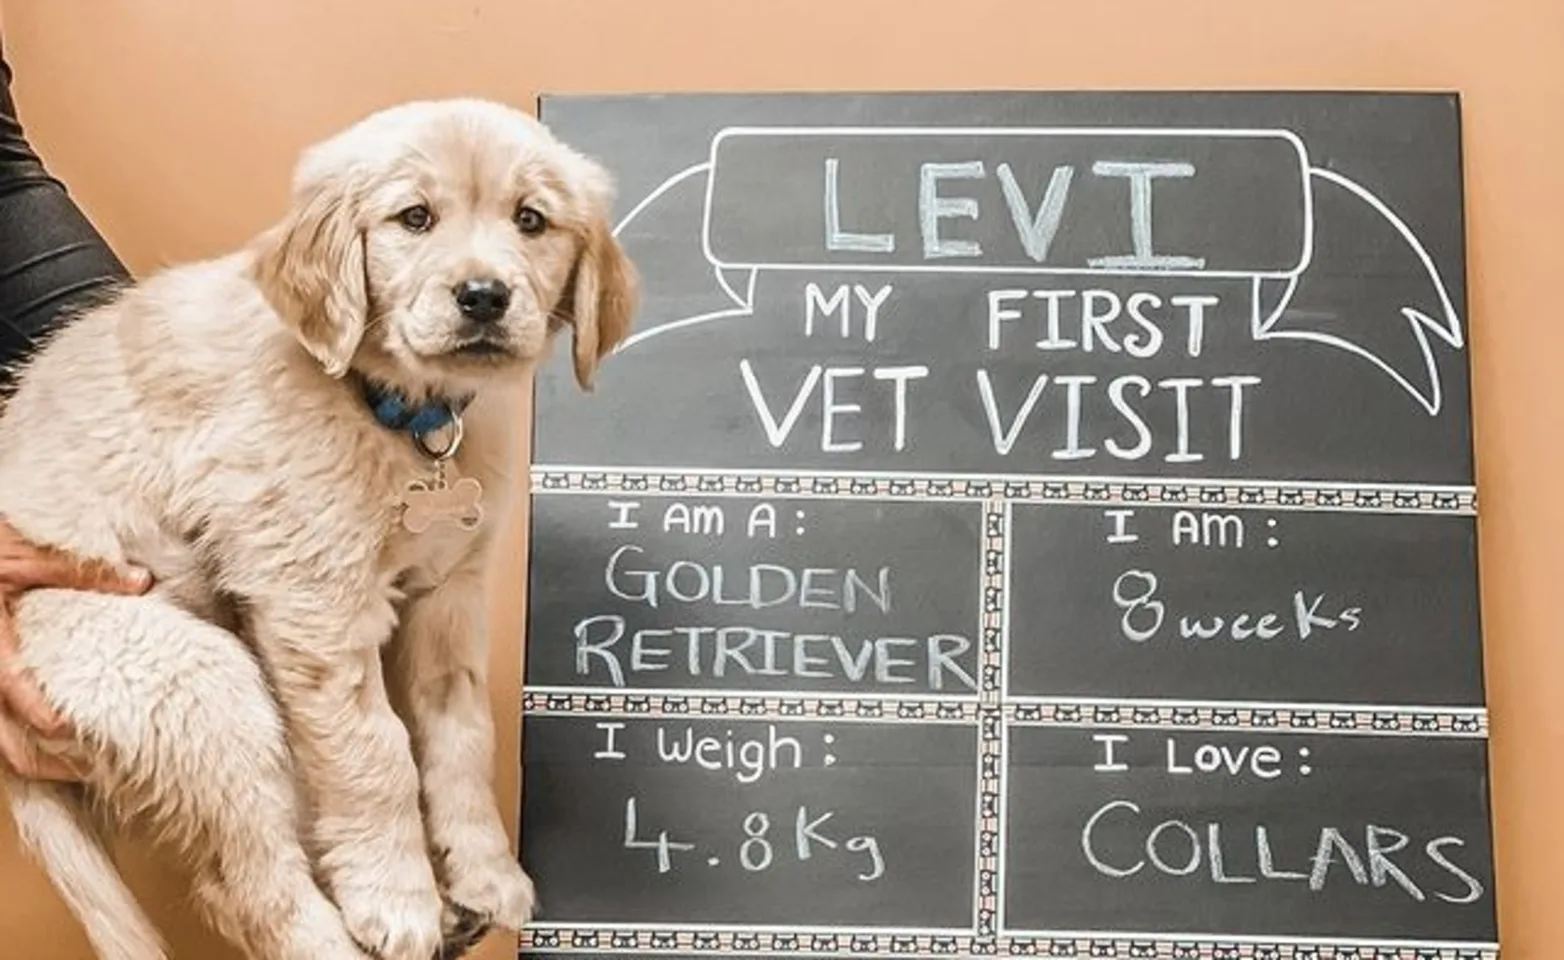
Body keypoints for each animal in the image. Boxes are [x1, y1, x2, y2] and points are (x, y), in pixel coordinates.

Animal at [1, 99, 634, 960]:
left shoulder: (448, 596)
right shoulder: (315, 610)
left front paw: (483, 872)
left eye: (530, 219)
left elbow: (462, 735)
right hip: (196, 679)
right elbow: (378, 754)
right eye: (415, 217)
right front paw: (398, 900)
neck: (403, 415)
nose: (483, 296)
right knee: (255, 891)